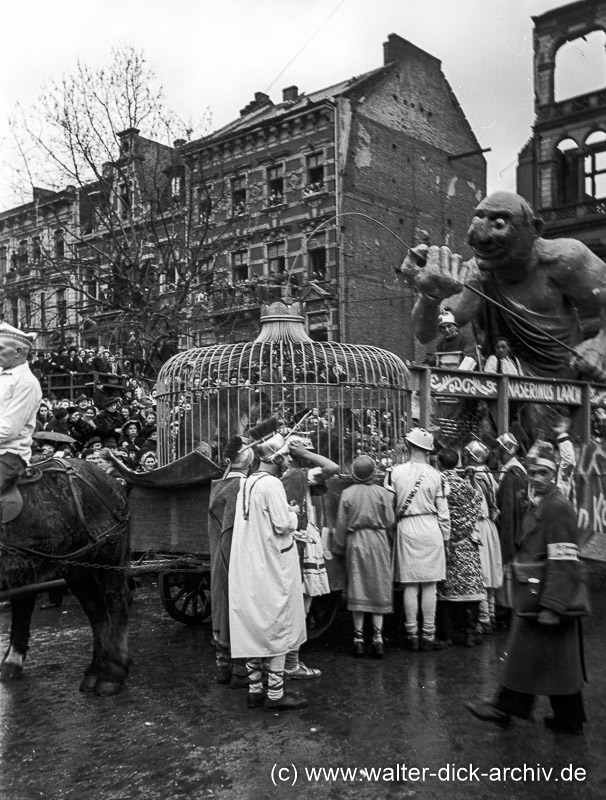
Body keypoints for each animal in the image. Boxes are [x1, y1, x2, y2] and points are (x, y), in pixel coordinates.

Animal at [0, 460, 132, 696]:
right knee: (96, 609)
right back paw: (95, 670)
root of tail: (113, 480)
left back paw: (111, 673)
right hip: (76, 565)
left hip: (107, 554)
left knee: (117, 602)